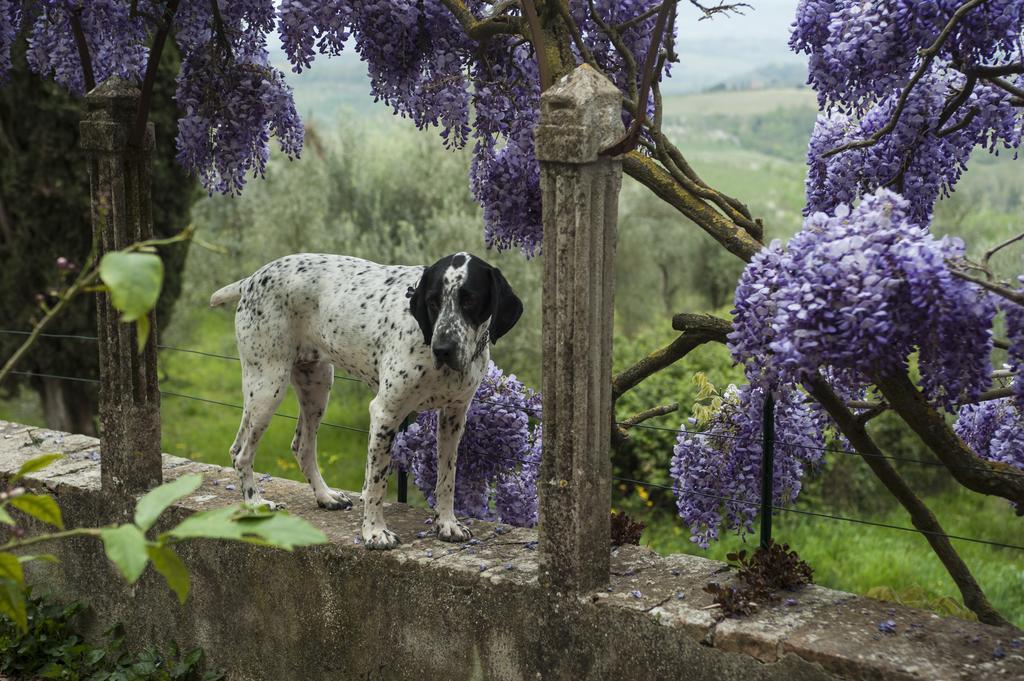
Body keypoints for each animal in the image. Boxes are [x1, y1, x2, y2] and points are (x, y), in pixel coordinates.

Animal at [210, 251, 524, 548]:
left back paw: (325, 496)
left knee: (300, 446)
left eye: (470, 300)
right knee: (241, 453)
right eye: (433, 302)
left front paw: (447, 523)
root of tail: (251, 279)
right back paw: (255, 503)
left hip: (316, 387)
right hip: (268, 386)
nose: (443, 349)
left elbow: (447, 479)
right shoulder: (385, 413)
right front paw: (374, 532)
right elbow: (376, 484)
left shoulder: (454, 416)